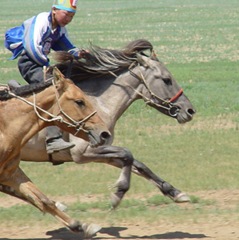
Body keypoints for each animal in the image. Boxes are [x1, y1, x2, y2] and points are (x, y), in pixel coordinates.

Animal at [0, 67, 112, 236]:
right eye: (79, 101)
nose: (104, 134)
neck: (4, 126)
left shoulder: (10, 173)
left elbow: (43, 199)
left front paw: (79, 225)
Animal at [20, 39, 196, 208]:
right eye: (167, 80)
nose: (190, 111)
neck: (99, 105)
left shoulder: (102, 152)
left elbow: (137, 164)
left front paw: (174, 192)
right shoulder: (83, 153)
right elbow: (127, 154)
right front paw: (119, 193)